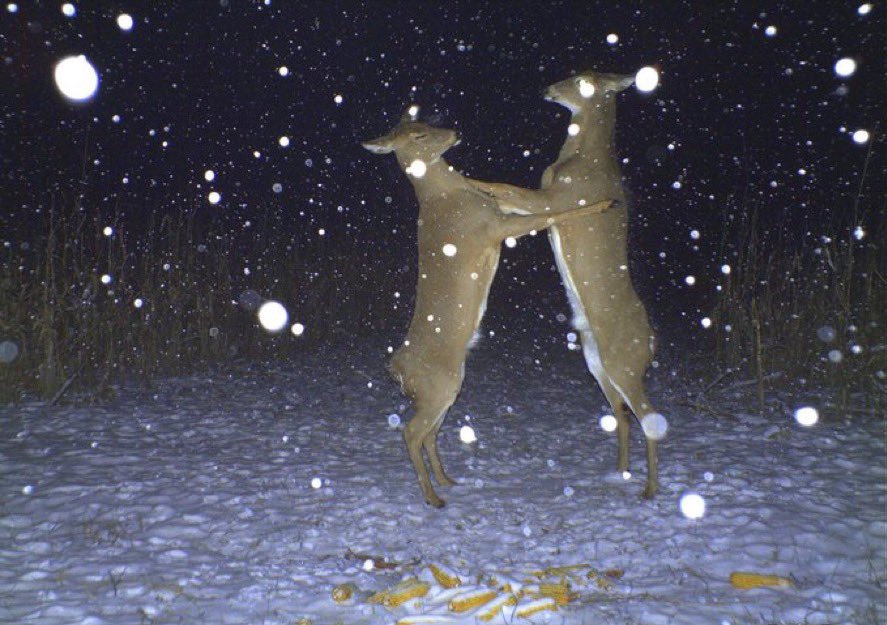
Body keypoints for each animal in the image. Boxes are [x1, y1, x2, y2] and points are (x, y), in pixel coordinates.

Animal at [363, 110, 616, 507]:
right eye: (417, 135)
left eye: (423, 121)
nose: (454, 132)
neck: (447, 194)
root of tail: (396, 369)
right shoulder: (491, 227)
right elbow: (550, 216)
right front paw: (604, 203)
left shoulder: (497, 214)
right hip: (439, 386)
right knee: (411, 431)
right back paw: (433, 498)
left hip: (448, 388)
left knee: (429, 432)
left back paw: (447, 480)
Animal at [470, 71, 663, 499]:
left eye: (582, 80)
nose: (547, 88)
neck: (579, 155)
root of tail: (651, 339)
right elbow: (508, 201)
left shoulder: (558, 196)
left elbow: (506, 189)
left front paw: (471, 180)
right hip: (596, 362)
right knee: (622, 416)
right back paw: (620, 472)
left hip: (622, 363)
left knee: (649, 418)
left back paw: (649, 489)